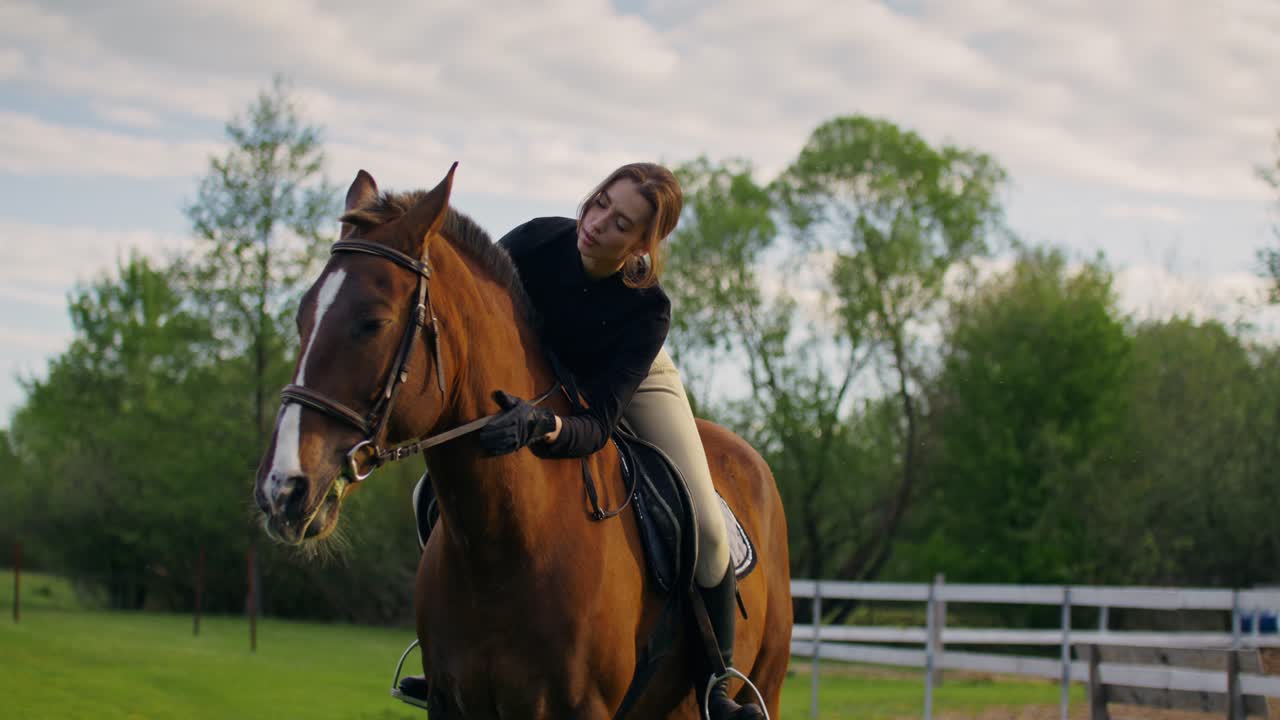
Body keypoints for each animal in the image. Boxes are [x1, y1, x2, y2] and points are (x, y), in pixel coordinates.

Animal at [253, 164, 792, 718]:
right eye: (301, 315)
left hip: (766, 680)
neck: (504, 545)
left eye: (373, 322)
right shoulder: (450, 703)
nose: (282, 489)